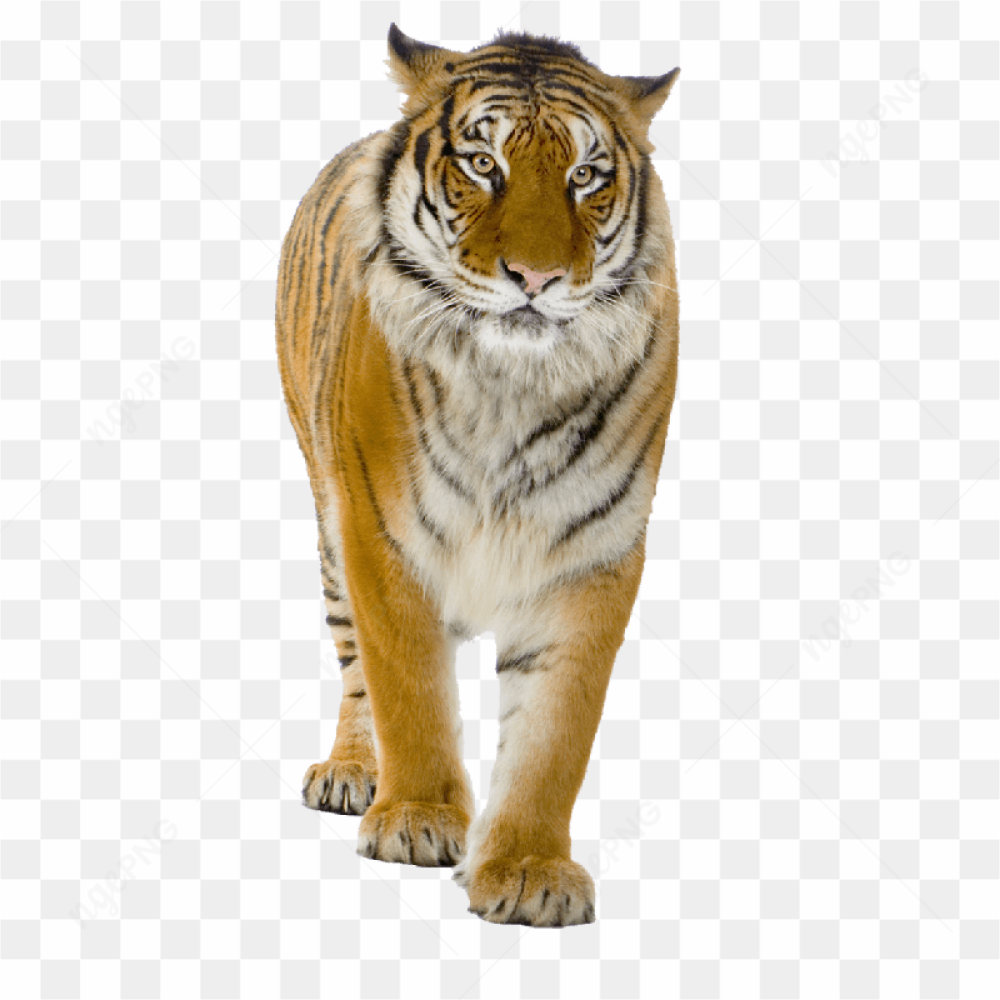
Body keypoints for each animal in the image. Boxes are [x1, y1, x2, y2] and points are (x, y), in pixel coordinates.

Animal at [275, 24, 680, 927]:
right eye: (483, 164)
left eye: (585, 176)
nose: (535, 279)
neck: (511, 386)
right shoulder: (382, 533)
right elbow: (408, 688)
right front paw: (418, 819)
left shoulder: (592, 554)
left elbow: (555, 734)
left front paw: (529, 869)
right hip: (326, 517)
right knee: (354, 665)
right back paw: (354, 772)